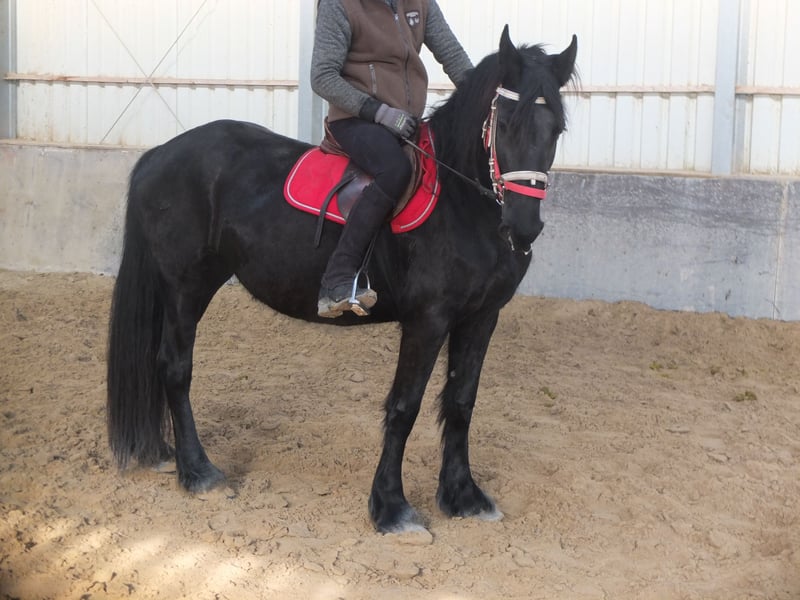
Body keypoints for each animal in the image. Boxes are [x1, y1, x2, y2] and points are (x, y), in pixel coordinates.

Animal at [107, 26, 578, 534]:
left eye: (556, 129)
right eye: (503, 124)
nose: (523, 228)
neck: (460, 202)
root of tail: (160, 153)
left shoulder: (481, 317)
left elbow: (461, 402)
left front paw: (463, 496)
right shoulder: (428, 320)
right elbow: (405, 406)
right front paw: (391, 507)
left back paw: (167, 454)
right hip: (185, 286)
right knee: (175, 368)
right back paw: (197, 472)